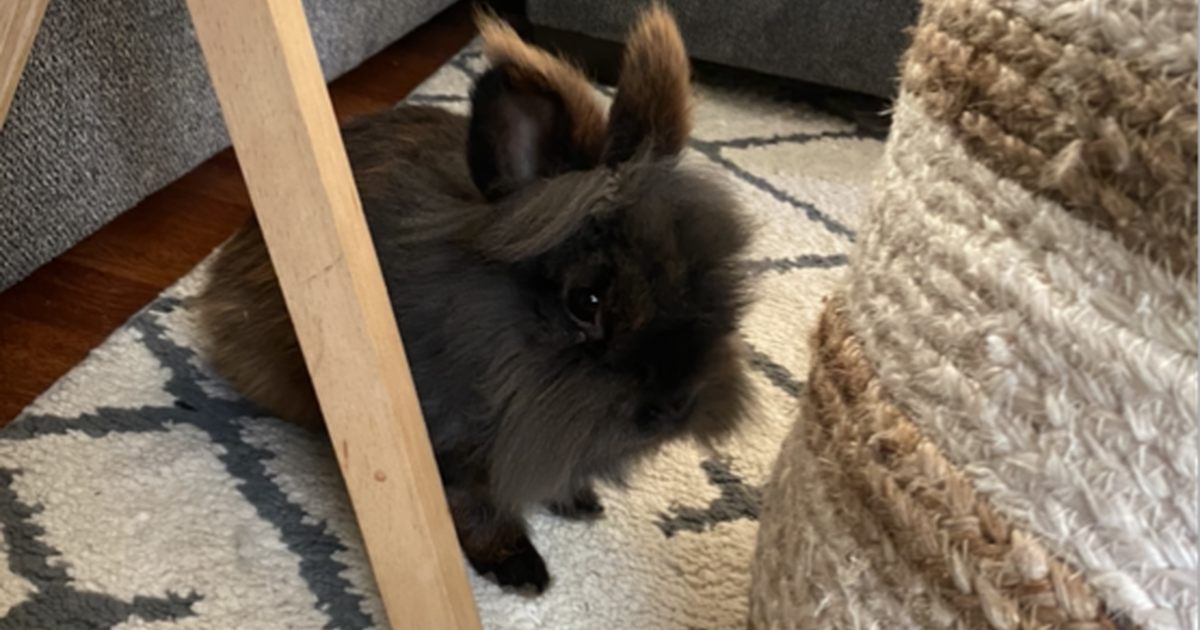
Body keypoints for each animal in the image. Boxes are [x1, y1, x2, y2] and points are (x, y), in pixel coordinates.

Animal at [193, 3, 754, 594]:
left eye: (709, 278)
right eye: (586, 302)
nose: (676, 405)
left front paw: (579, 502)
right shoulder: (451, 442)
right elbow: (477, 505)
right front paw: (521, 570)